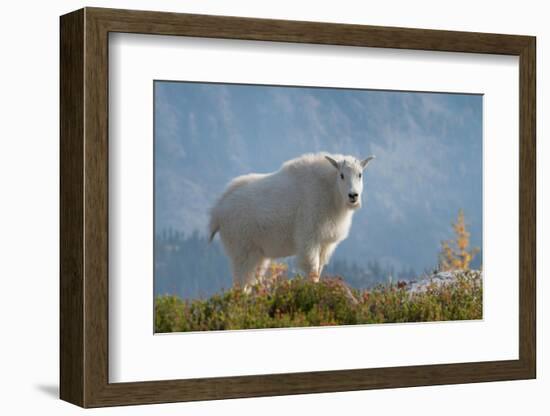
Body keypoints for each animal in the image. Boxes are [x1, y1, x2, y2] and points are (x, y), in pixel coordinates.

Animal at [209, 153, 378, 290]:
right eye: (342, 175)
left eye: (360, 174)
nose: (353, 196)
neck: (330, 191)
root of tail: (218, 211)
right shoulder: (308, 236)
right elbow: (312, 268)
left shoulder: (325, 243)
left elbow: (320, 268)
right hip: (241, 248)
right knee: (241, 281)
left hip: (258, 254)